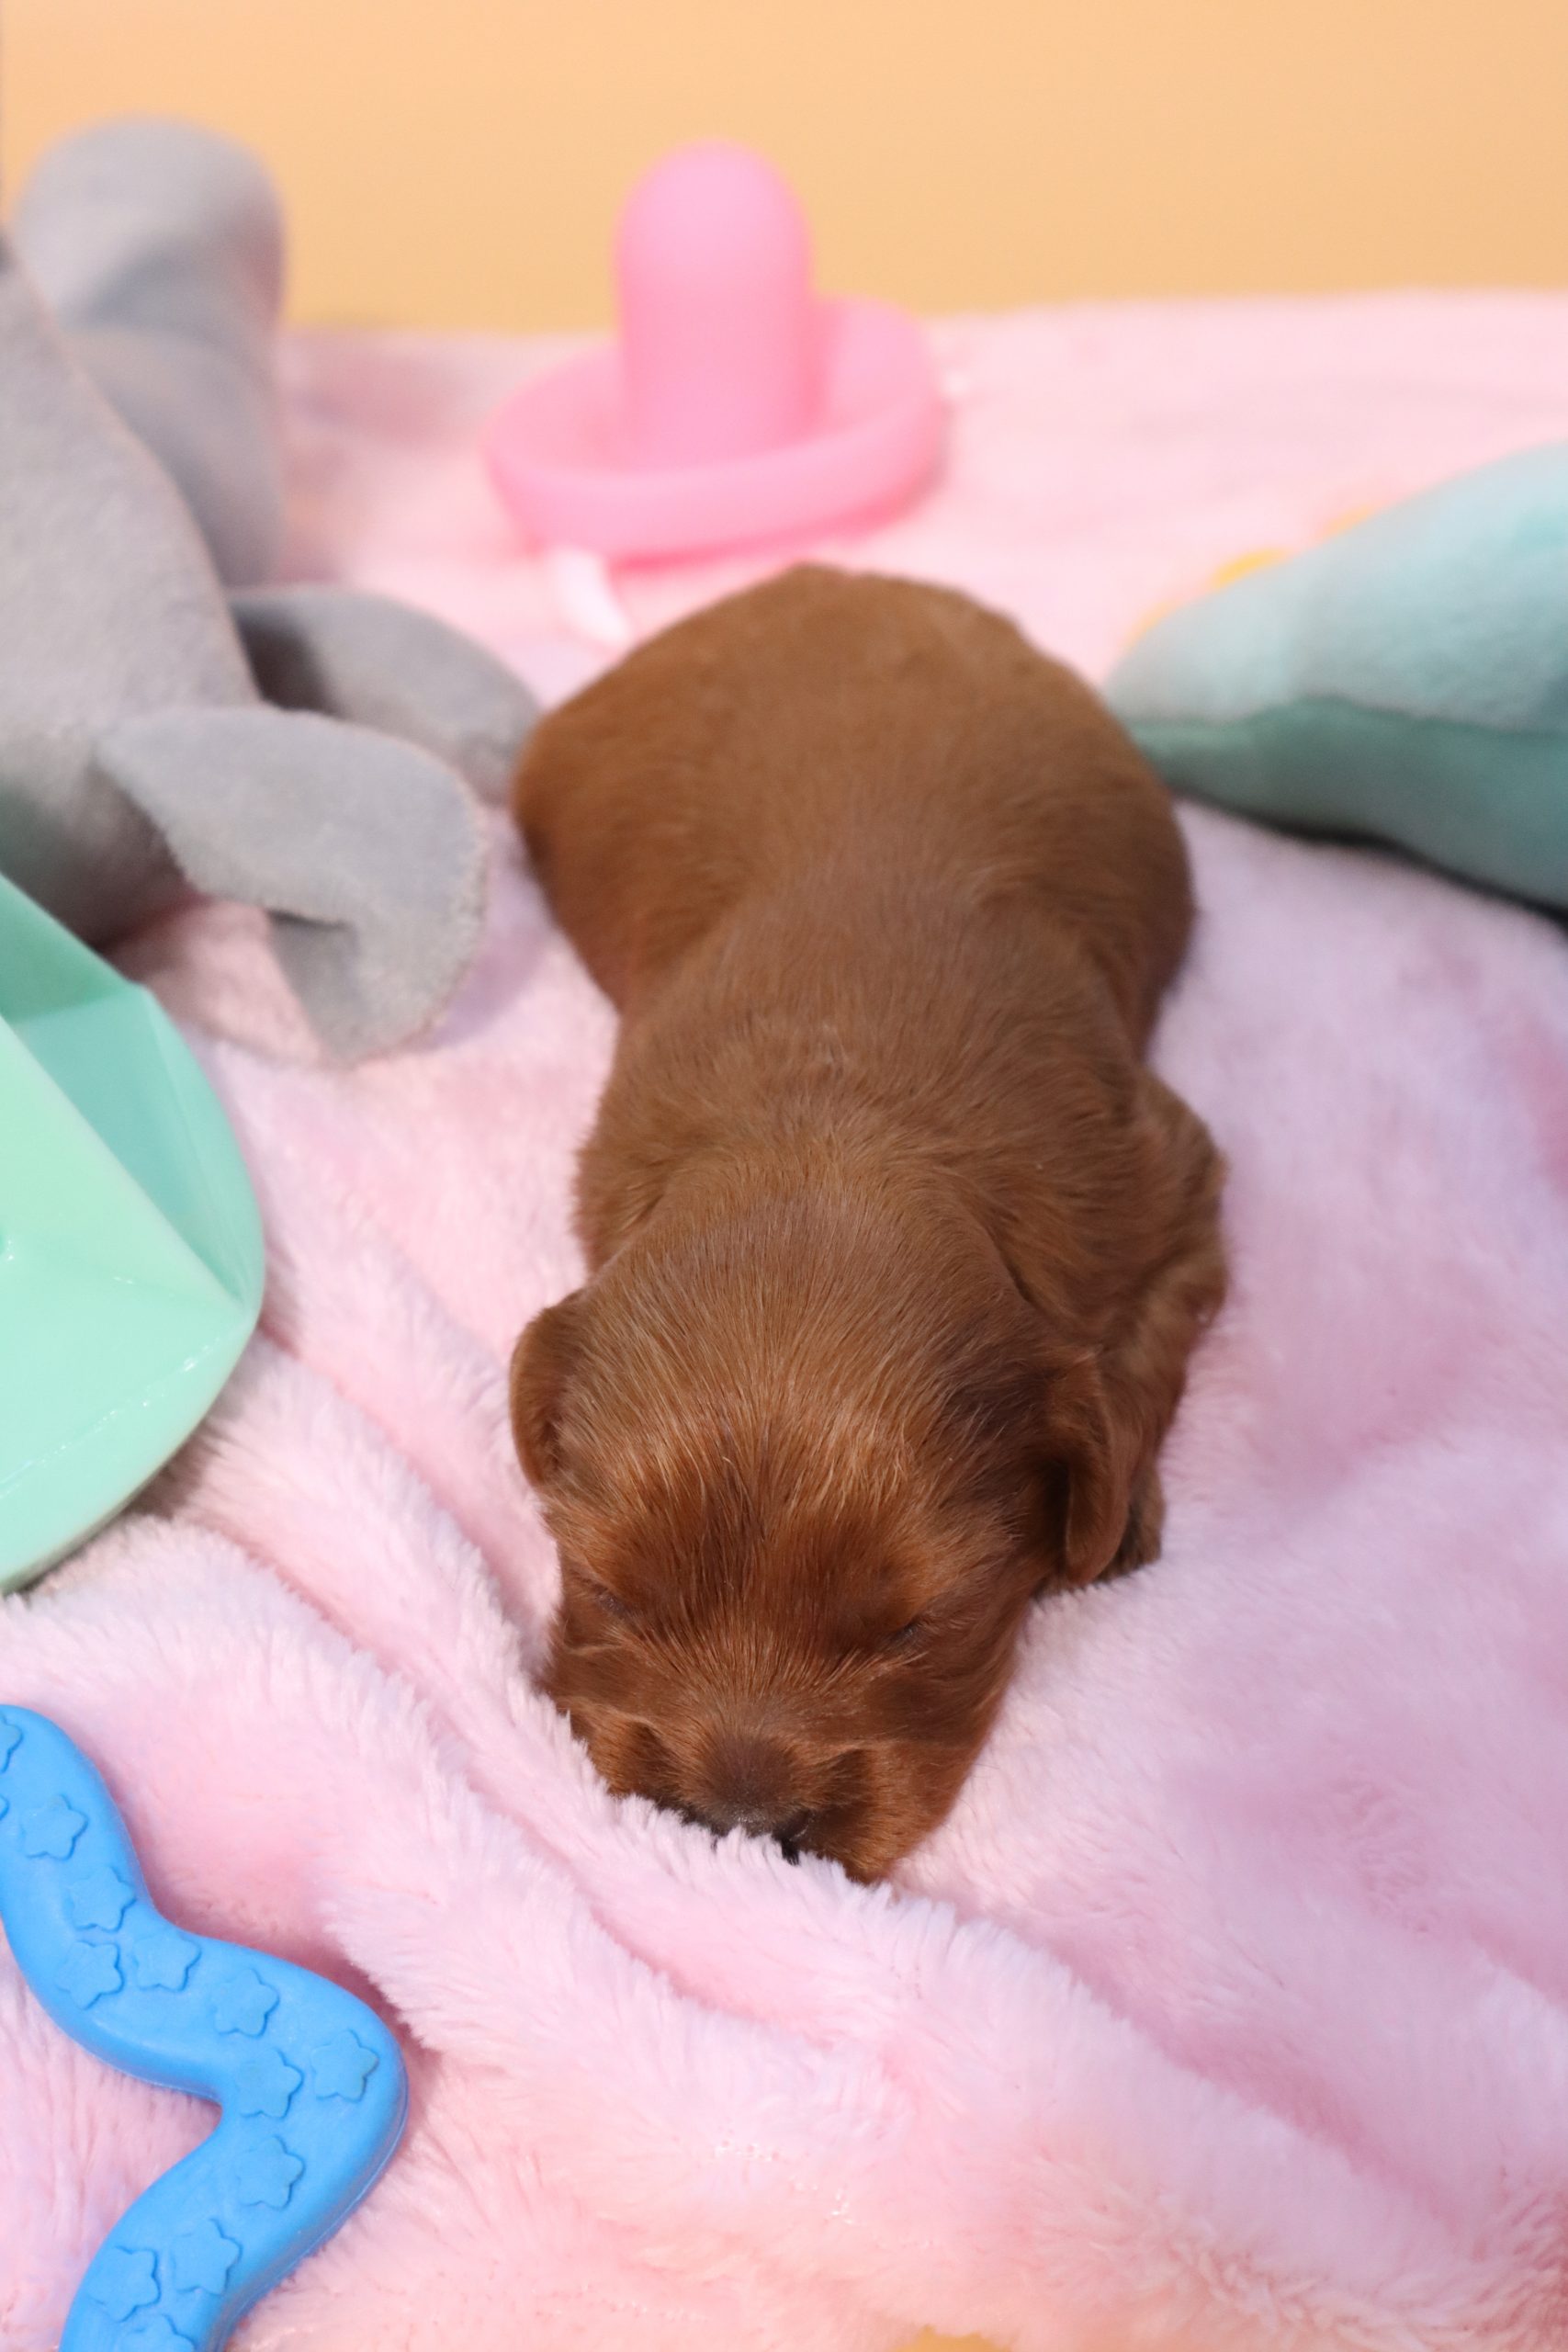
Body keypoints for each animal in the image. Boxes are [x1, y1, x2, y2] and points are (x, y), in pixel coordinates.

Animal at [514, 573, 1222, 1891]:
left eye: (913, 1625)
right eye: (612, 1591)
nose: (740, 1825)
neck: (840, 1115)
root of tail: (813, 578)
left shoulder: (1160, 1176)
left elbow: (1144, 1344)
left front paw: (1116, 1517)